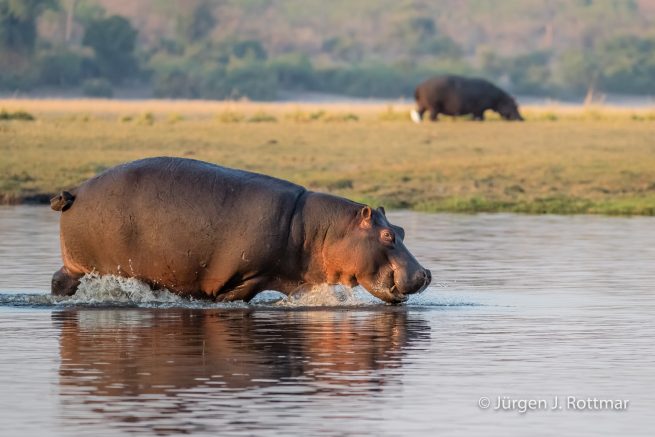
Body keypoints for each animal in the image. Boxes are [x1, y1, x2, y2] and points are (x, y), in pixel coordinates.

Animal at [50, 157, 431, 304]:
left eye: (401, 229)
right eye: (387, 236)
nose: (425, 273)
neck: (322, 230)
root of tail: (75, 191)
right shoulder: (248, 275)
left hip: (75, 266)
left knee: (59, 280)